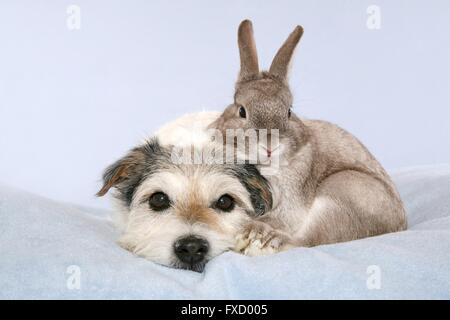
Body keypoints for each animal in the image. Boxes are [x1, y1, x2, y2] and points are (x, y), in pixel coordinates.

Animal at [207, 19, 408, 255]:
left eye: (289, 111)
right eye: (241, 111)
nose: (270, 147)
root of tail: (399, 226)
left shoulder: (292, 201)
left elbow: (278, 219)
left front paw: (251, 232)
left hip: (342, 193)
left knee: (306, 241)